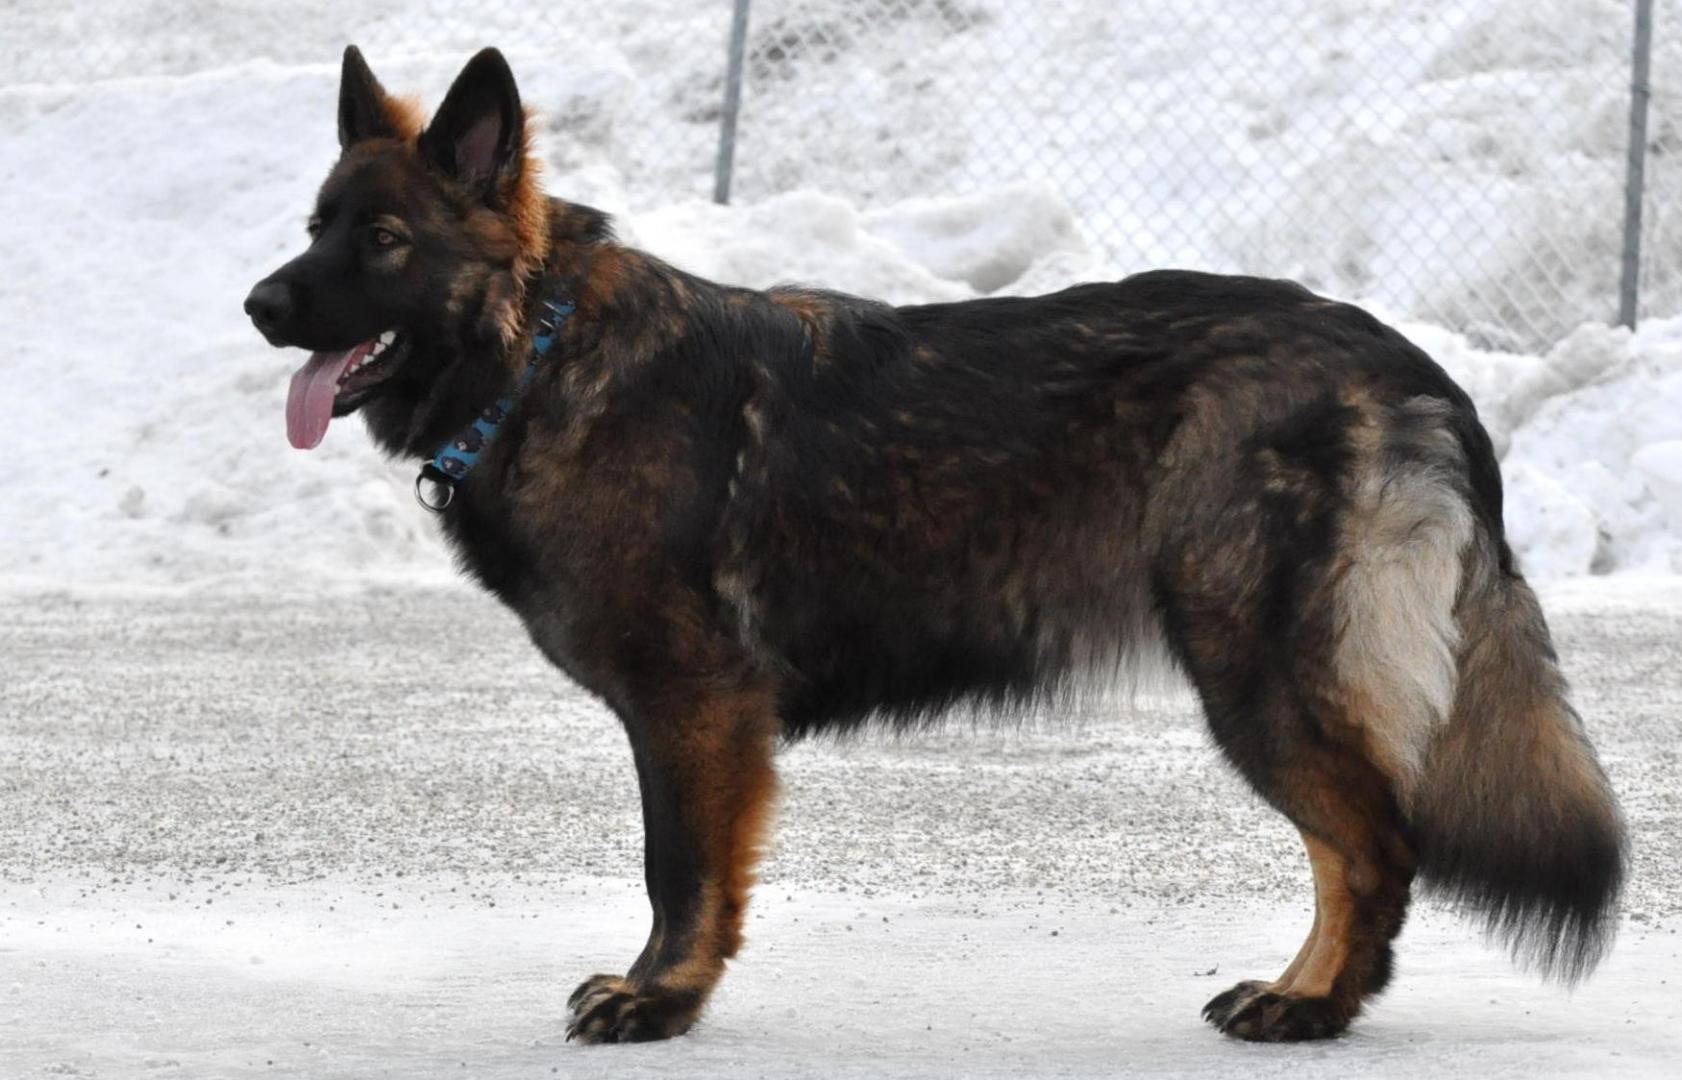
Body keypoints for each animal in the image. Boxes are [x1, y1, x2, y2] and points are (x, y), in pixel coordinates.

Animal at [244, 46, 1627, 1045]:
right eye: (311, 225)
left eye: (382, 241)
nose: (256, 303)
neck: (537, 356)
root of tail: (1402, 358)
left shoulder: (692, 705)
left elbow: (677, 868)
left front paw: (662, 998)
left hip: (1254, 671)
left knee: (1373, 848)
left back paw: (1310, 1005)